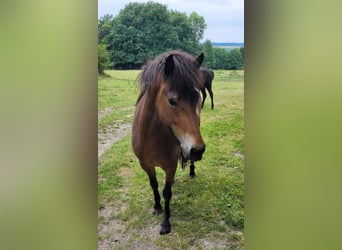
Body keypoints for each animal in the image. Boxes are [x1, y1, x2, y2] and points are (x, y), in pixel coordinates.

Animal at [132, 50, 206, 234]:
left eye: (197, 97)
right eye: (172, 101)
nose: (197, 150)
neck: (151, 138)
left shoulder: (170, 166)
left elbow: (167, 192)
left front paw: (166, 223)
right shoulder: (146, 165)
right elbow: (154, 185)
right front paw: (157, 207)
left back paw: (192, 171)